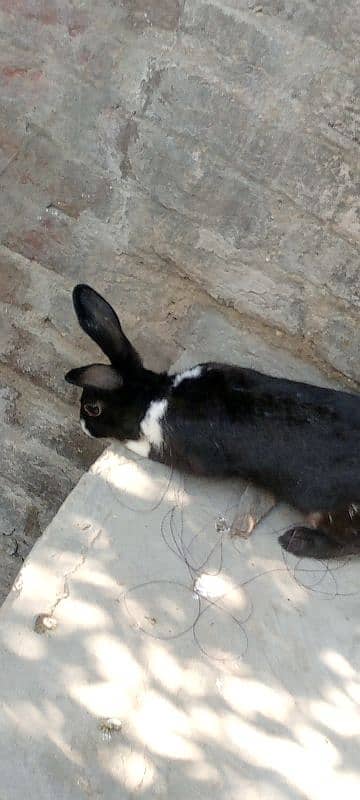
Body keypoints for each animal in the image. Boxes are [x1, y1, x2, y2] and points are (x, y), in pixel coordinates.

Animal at [64, 284, 360, 560]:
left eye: (92, 408)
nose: (82, 424)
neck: (155, 395)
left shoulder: (177, 452)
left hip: (329, 511)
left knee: (347, 544)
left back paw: (297, 541)